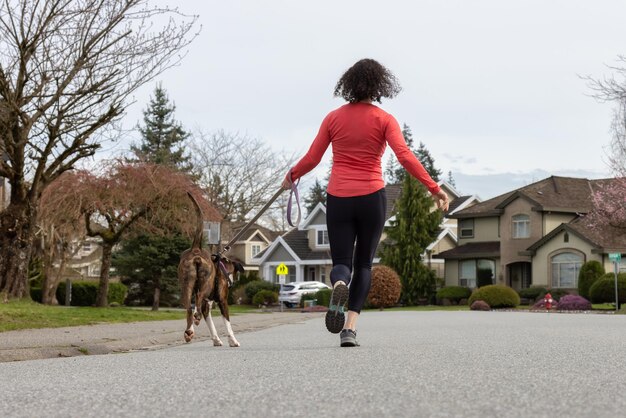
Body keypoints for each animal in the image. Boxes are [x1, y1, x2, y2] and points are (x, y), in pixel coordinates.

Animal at [178, 194, 244, 348]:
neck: (222, 268)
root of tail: (196, 249)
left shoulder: (207, 305)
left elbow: (211, 323)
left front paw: (216, 339)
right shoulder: (223, 301)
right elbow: (227, 323)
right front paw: (233, 341)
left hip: (186, 284)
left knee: (189, 308)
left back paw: (189, 330)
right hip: (205, 282)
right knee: (197, 299)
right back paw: (196, 319)